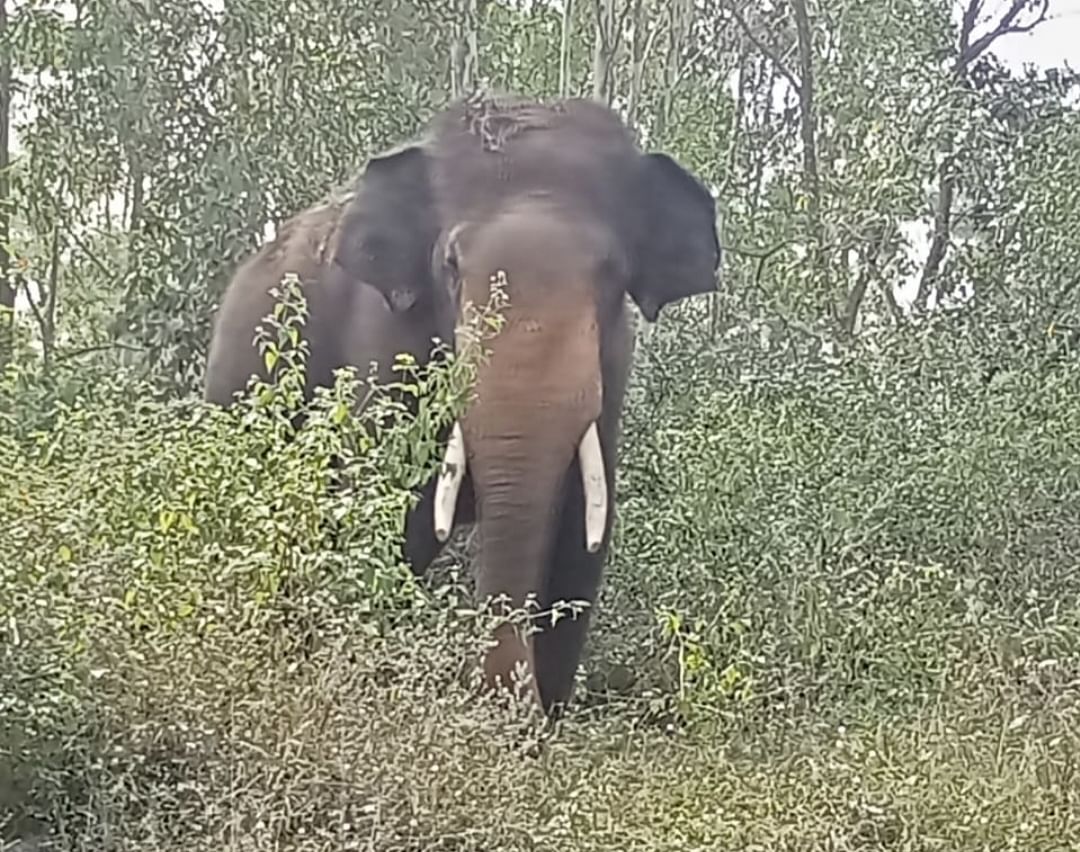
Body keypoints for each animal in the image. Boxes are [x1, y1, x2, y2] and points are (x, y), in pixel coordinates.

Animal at [205, 91, 721, 717]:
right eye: (450, 266)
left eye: (611, 273)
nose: (510, 701)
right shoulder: (385, 341)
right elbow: (386, 515)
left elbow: (579, 542)